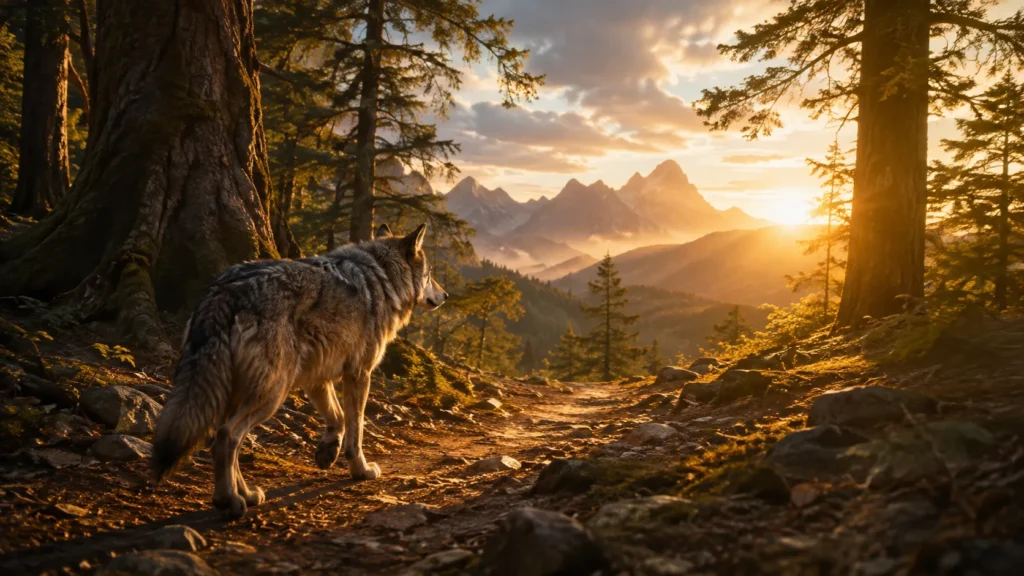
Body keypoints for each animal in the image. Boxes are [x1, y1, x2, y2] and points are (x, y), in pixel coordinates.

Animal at [151, 223, 447, 515]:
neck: (383, 277)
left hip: (239, 393)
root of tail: (223, 291)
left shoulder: (317, 378)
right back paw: (230, 499)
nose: (445, 295)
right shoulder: (359, 374)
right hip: (273, 394)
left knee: (222, 438)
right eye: (431, 273)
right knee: (227, 435)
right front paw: (361, 470)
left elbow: (338, 417)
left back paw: (246, 494)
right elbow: (356, 431)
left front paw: (327, 452)